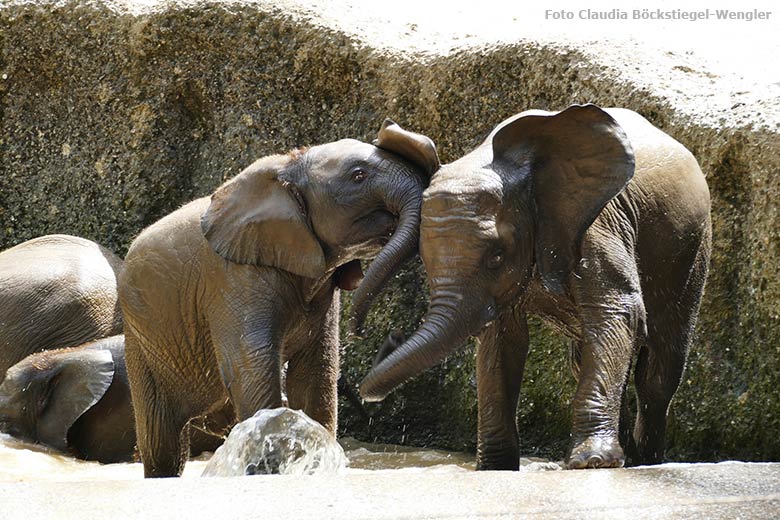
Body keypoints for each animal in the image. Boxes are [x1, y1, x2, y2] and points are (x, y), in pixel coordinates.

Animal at [119, 120, 442, 478]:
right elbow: (252, 363)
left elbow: (316, 372)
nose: (380, 335)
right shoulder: (233, 276)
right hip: (141, 341)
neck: (287, 168)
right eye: (358, 176)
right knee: (163, 443)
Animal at [360, 105, 712, 472]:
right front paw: (494, 469)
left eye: (496, 257)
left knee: (659, 365)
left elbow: (618, 312)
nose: (392, 336)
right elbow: (503, 340)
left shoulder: (594, 224)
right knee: (588, 356)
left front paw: (592, 462)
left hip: (691, 247)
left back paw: (646, 462)